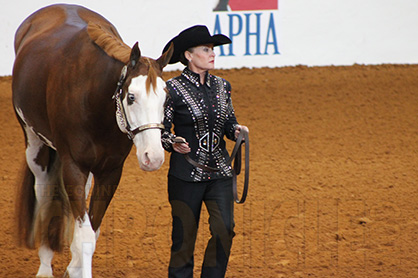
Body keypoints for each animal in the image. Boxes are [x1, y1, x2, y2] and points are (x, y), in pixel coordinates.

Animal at [12, 4, 173, 278]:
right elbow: (85, 236)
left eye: (166, 98)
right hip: (34, 144)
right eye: (131, 96)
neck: (92, 99)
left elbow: (91, 232)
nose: (153, 157)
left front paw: (74, 268)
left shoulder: (110, 172)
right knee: (44, 193)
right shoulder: (73, 166)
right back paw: (45, 265)